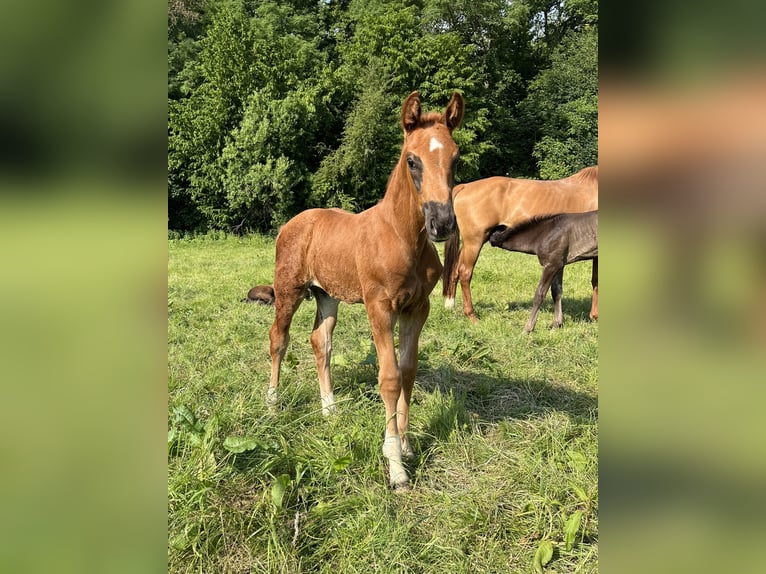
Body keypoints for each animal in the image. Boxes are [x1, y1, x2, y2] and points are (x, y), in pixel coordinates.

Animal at [260, 90, 462, 490]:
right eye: (412, 161)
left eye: (456, 157)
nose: (442, 223)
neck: (402, 236)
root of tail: (292, 223)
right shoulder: (379, 306)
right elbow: (389, 377)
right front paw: (395, 464)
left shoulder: (418, 308)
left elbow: (408, 371)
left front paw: (408, 445)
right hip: (289, 289)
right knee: (279, 338)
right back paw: (273, 404)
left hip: (327, 295)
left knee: (320, 342)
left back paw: (330, 409)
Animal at [444, 169, 600, 326]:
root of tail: (465, 187)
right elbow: (596, 280)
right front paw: (595, 316)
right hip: (474, 242)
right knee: (465, 272)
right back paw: (471, 315)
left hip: (468, 244)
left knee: (455, 270)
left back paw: (450, 305)